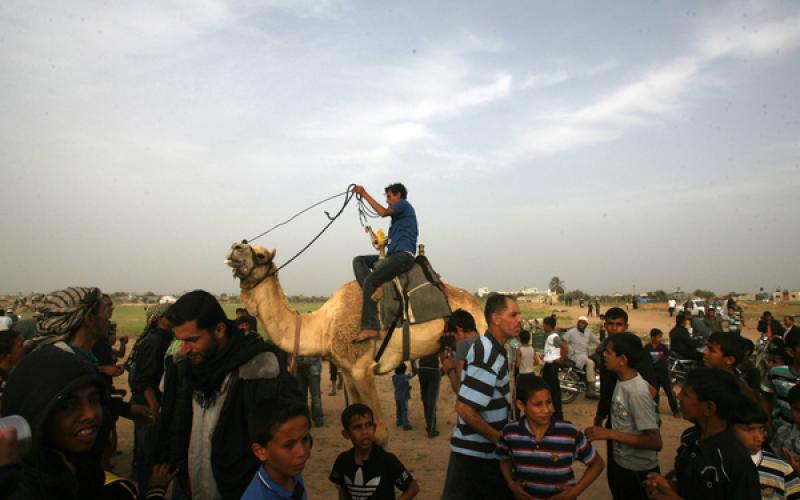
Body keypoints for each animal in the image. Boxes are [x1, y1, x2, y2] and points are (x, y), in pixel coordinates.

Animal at [227, 240, 488, 444]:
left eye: (261, 254)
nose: (235, 248)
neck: (323, 326)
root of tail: (477, 306)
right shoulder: (348, 371)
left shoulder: (363, 368)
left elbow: (380, 434)